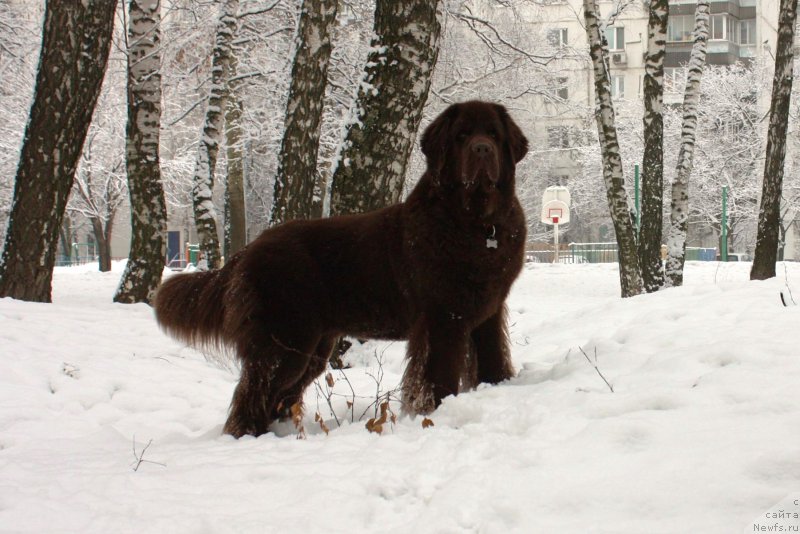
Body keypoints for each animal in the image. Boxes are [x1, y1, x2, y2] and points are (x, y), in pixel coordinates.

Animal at [156, 101, 532, 440]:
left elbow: (493, 358)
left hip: (312, 346)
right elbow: (439, 374)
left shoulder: (488, 311)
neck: (478, 226)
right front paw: (433, 413)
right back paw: (248, 436)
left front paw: (497, 387)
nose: (482, 149)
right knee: (254, 390)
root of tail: (249, 249)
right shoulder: (442, 317)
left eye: (493, 135)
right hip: (285, 339)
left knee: (277, 394)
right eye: (462, 135)